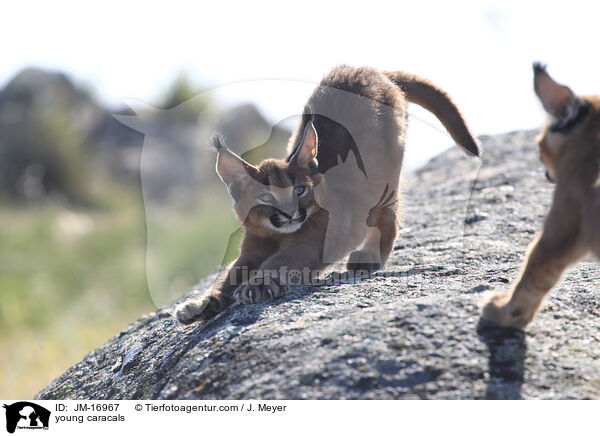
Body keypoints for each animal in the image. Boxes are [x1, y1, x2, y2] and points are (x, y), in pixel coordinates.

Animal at [175, 64, 478, 324]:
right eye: (266, 198)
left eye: (300, 190)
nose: (291, 214)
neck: (277, 235)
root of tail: (371, 69)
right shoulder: (251, 249)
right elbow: (230, 274)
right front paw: (201, 304)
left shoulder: (315, 240)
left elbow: (280, 261)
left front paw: (257, 285)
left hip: (386, 175)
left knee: (389, 216)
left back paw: (369, 257)